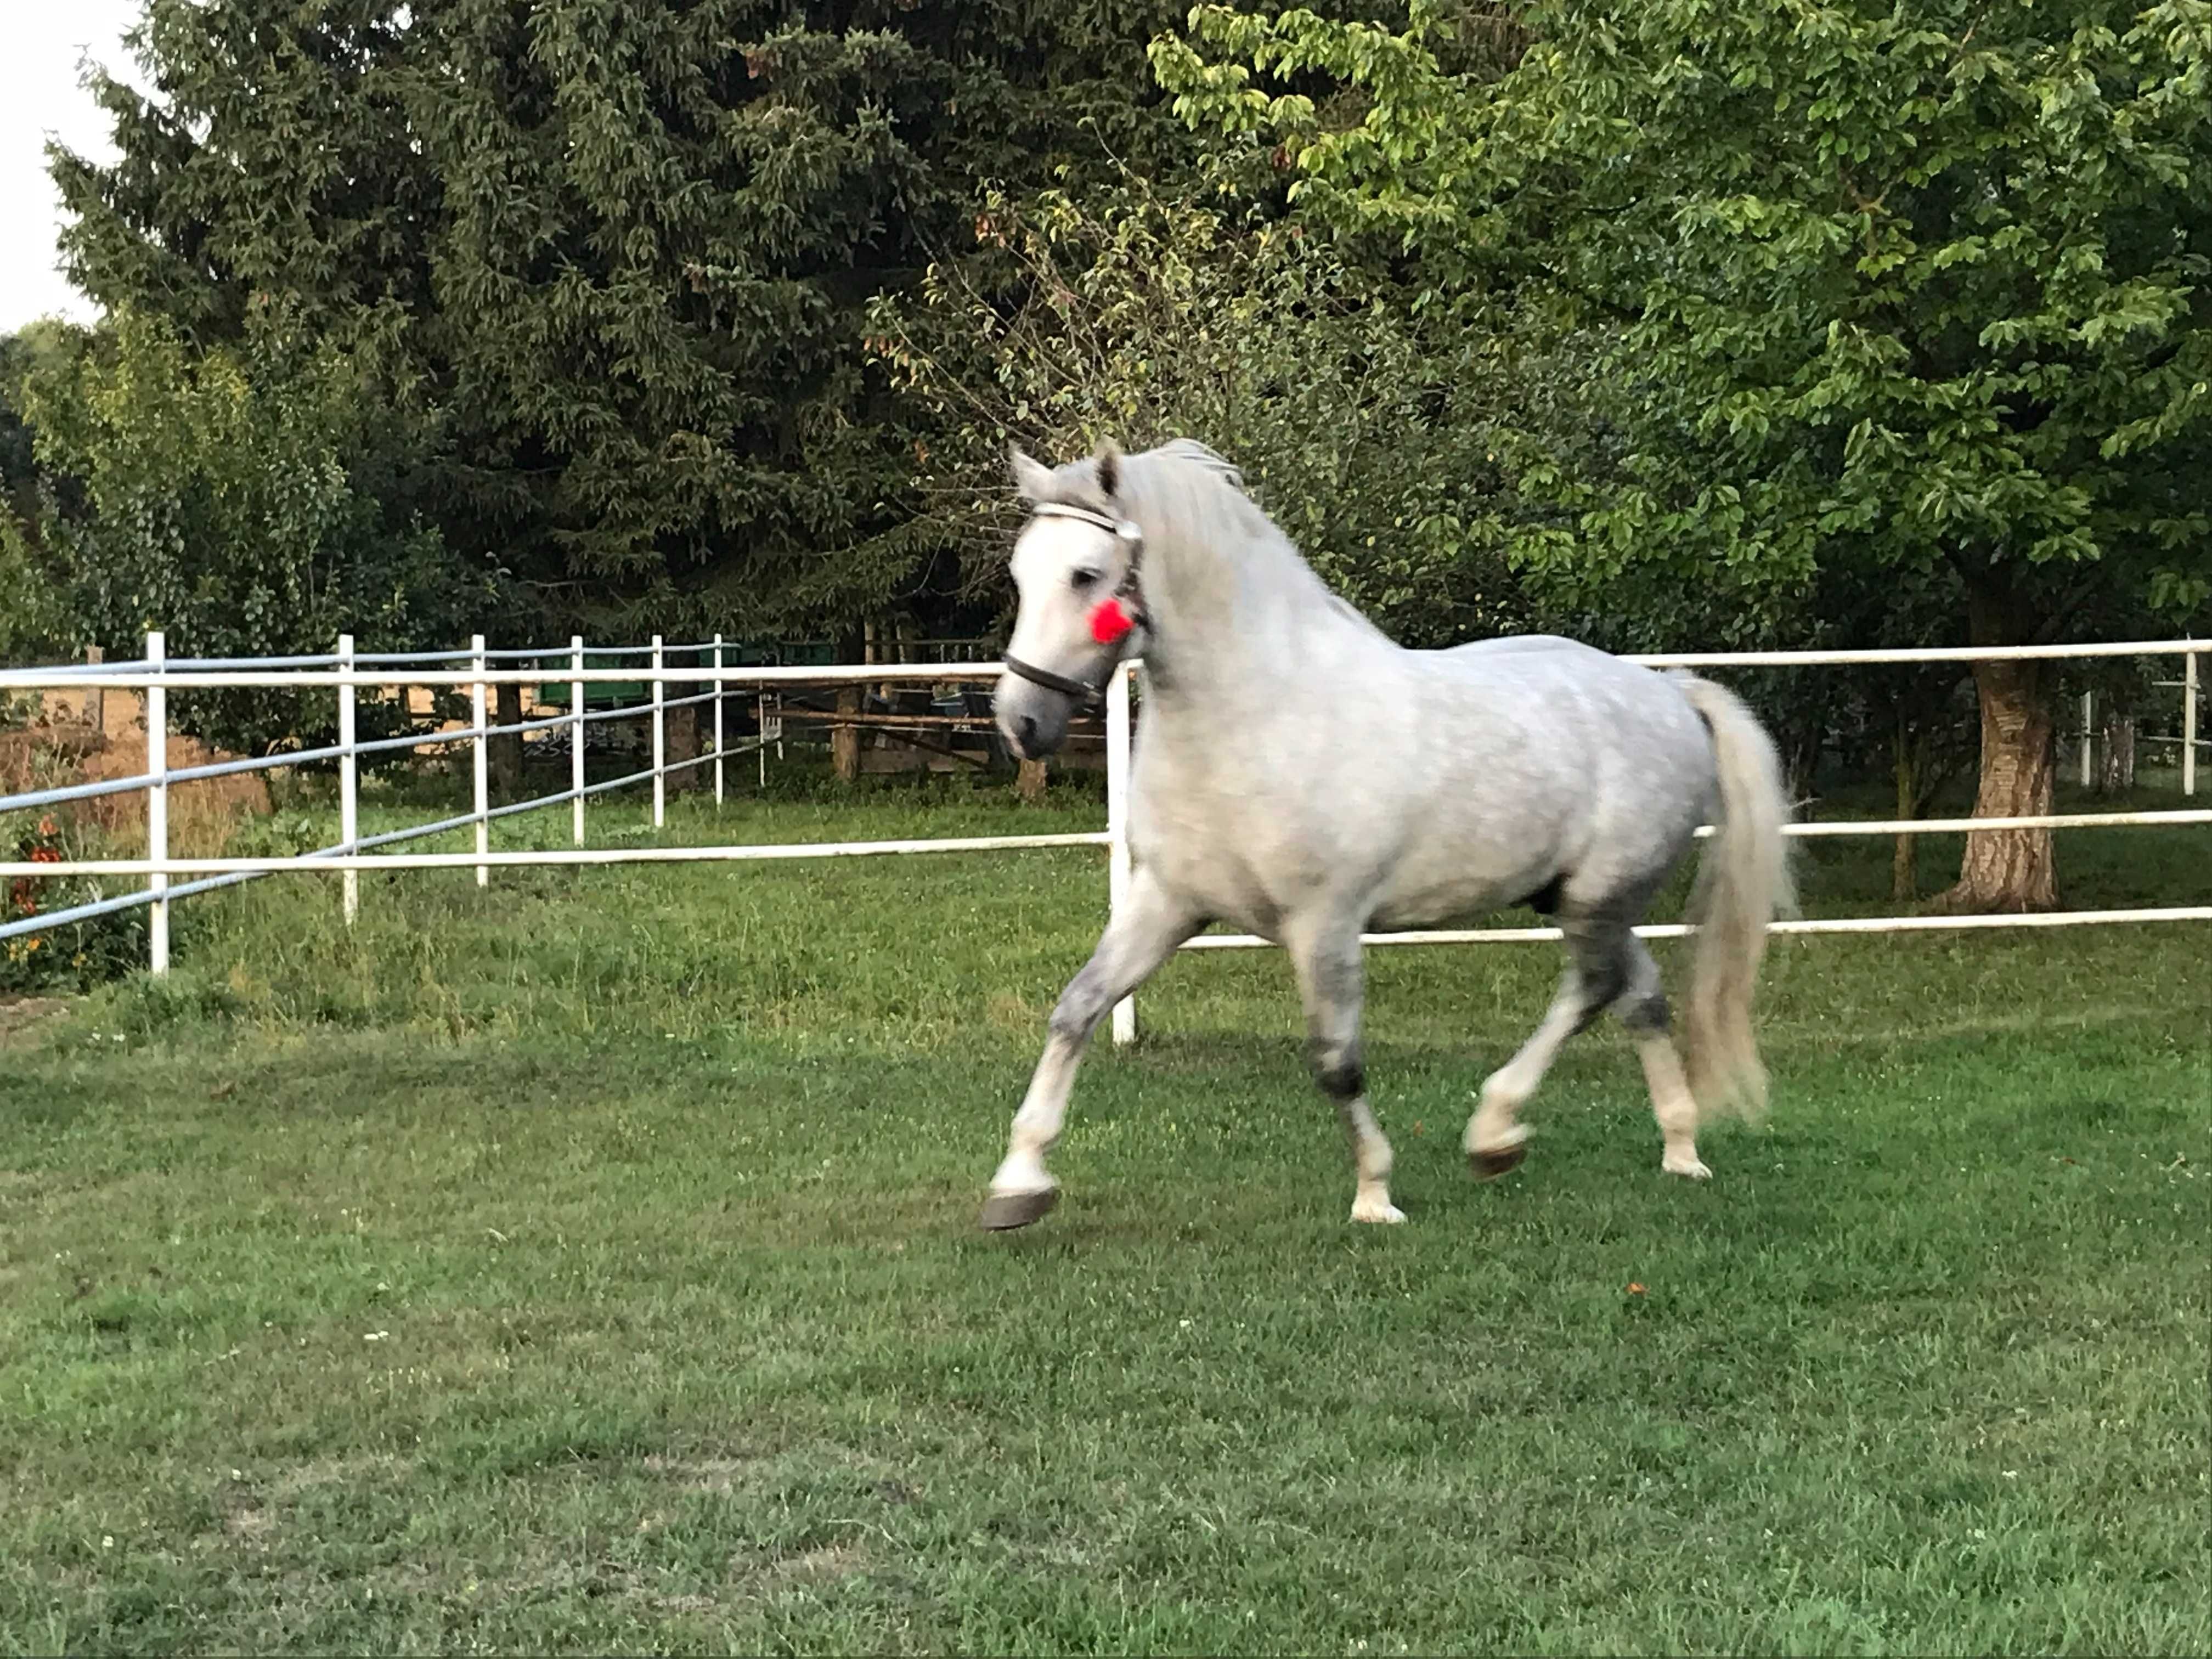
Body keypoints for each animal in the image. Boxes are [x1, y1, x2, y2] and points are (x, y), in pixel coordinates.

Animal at [978, 438, 1787, 1238]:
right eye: (1021, 571)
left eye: (1086, 574)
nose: (1020, 723)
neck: (1256, 714)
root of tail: (1670, 690)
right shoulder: (1168, 902)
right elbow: (1076, 1009)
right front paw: (1018, 1186)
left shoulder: (1325, 923)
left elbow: (1337, 1061)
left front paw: (1375, 1195)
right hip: (1581, 899)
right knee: (1638, 994)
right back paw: (1680, 1148)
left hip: (1600, 894)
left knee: (1595, 989)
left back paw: (1495, 1134)